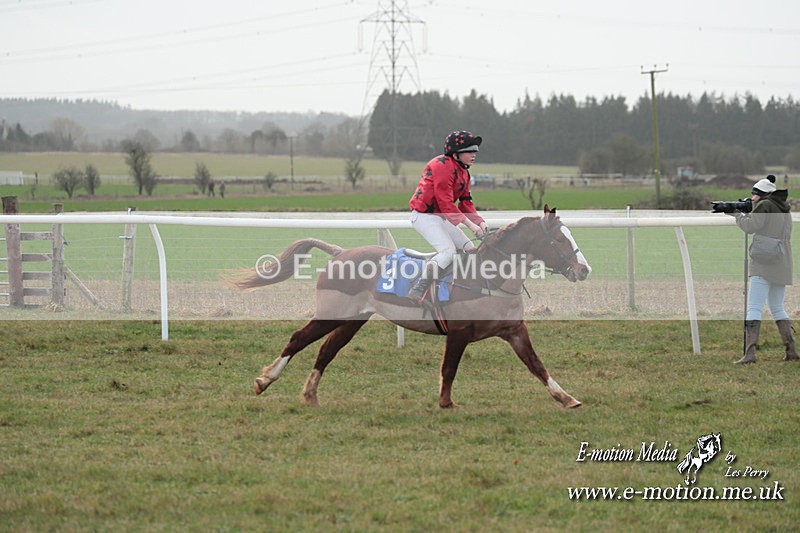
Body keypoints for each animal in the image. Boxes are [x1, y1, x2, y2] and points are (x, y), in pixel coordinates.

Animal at [229, 206, 592, 409]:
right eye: (561, 240)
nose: (584, 269)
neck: (488, 277)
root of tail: (339, 252)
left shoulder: (514, 331)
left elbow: (537, 365)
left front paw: (567, 398)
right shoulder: (458, 333)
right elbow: (449, 368)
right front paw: (446, 403)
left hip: (353, 320)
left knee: (326, 351)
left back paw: (310, 394)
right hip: (332, 314)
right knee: (298, 339)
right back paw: (265, 381)